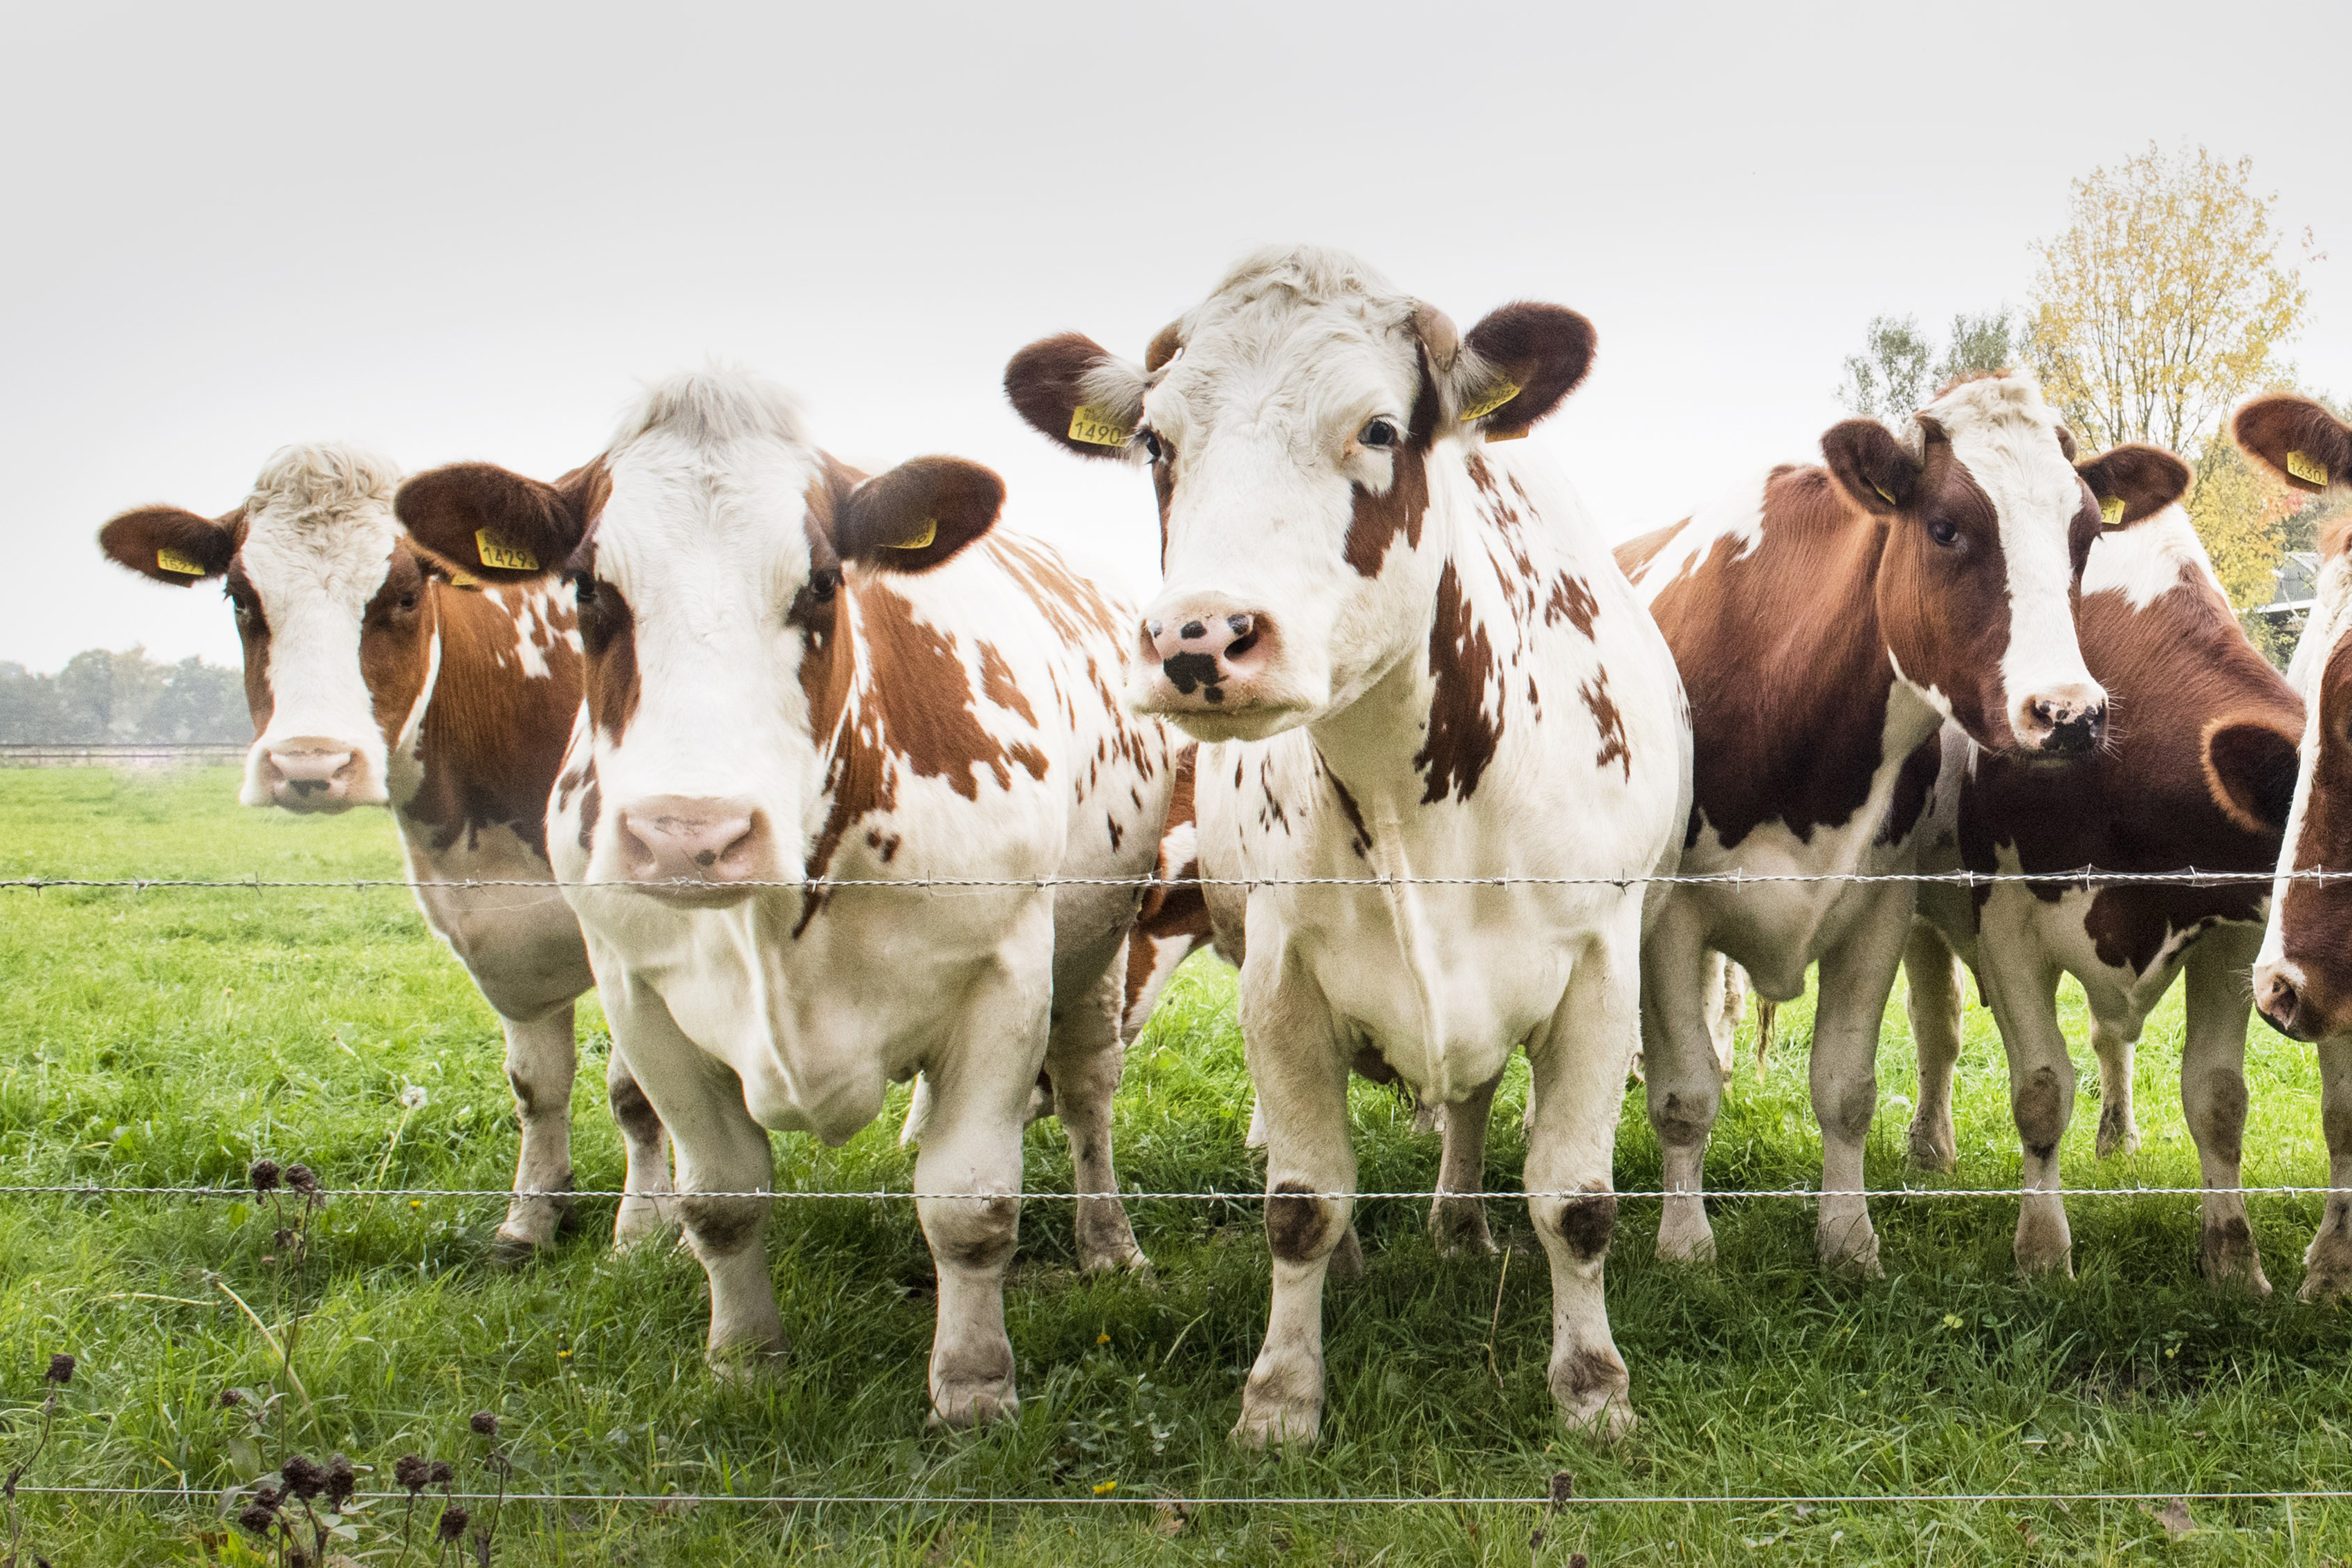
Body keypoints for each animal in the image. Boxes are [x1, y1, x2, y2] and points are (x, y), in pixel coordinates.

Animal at [95, 444, 675, 1258]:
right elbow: (536, 1085)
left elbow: (634, 1091)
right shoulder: (500, 928)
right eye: (240, 597)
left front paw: (645, 1229)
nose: (309, 763)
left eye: (403, 595)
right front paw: (529, 1219)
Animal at [394, 369, 1177, 1426]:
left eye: (821, 583)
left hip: (1095, 949)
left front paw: (974, 1385)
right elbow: (720, 1197)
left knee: (1090, 1095)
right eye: (589, 588)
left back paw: (1109, 1245)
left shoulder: (1005, 975)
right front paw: (743, 1358)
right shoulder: (641, 995)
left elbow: (970, 1206)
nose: (690, 834)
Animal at [1007, 245, 1690, 1445]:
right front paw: (1282, 1393)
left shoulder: (1601, 967)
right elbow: (1300, 1200)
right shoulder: (1280, 973)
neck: (1415, 792)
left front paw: (1593, 1385)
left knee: (1471, 1103)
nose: (1198, 637)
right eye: (1157, 443)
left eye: (1376, 428)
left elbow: (1575, 1200)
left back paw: (1460, 1222)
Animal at [1620, 371, 2187, 1274]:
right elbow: (1684, 1090)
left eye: (2087, 535)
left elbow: (1845, 1087)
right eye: (1945, 526)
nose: (2070, 714)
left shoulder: (1878, 905)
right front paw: (1684, 1243)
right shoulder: (1672, 916)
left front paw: (1849, 1239)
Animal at [1901, 484, 2294, 1285]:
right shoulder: (2007, 930)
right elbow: (2041, 1090)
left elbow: (2218, 1099)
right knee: (1938, 1027)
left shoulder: (2233, 938)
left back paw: (2118, 1137)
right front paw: (2043, 1252)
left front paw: (2234, 1260)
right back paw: (1930, 1143)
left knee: (2109, 1035)